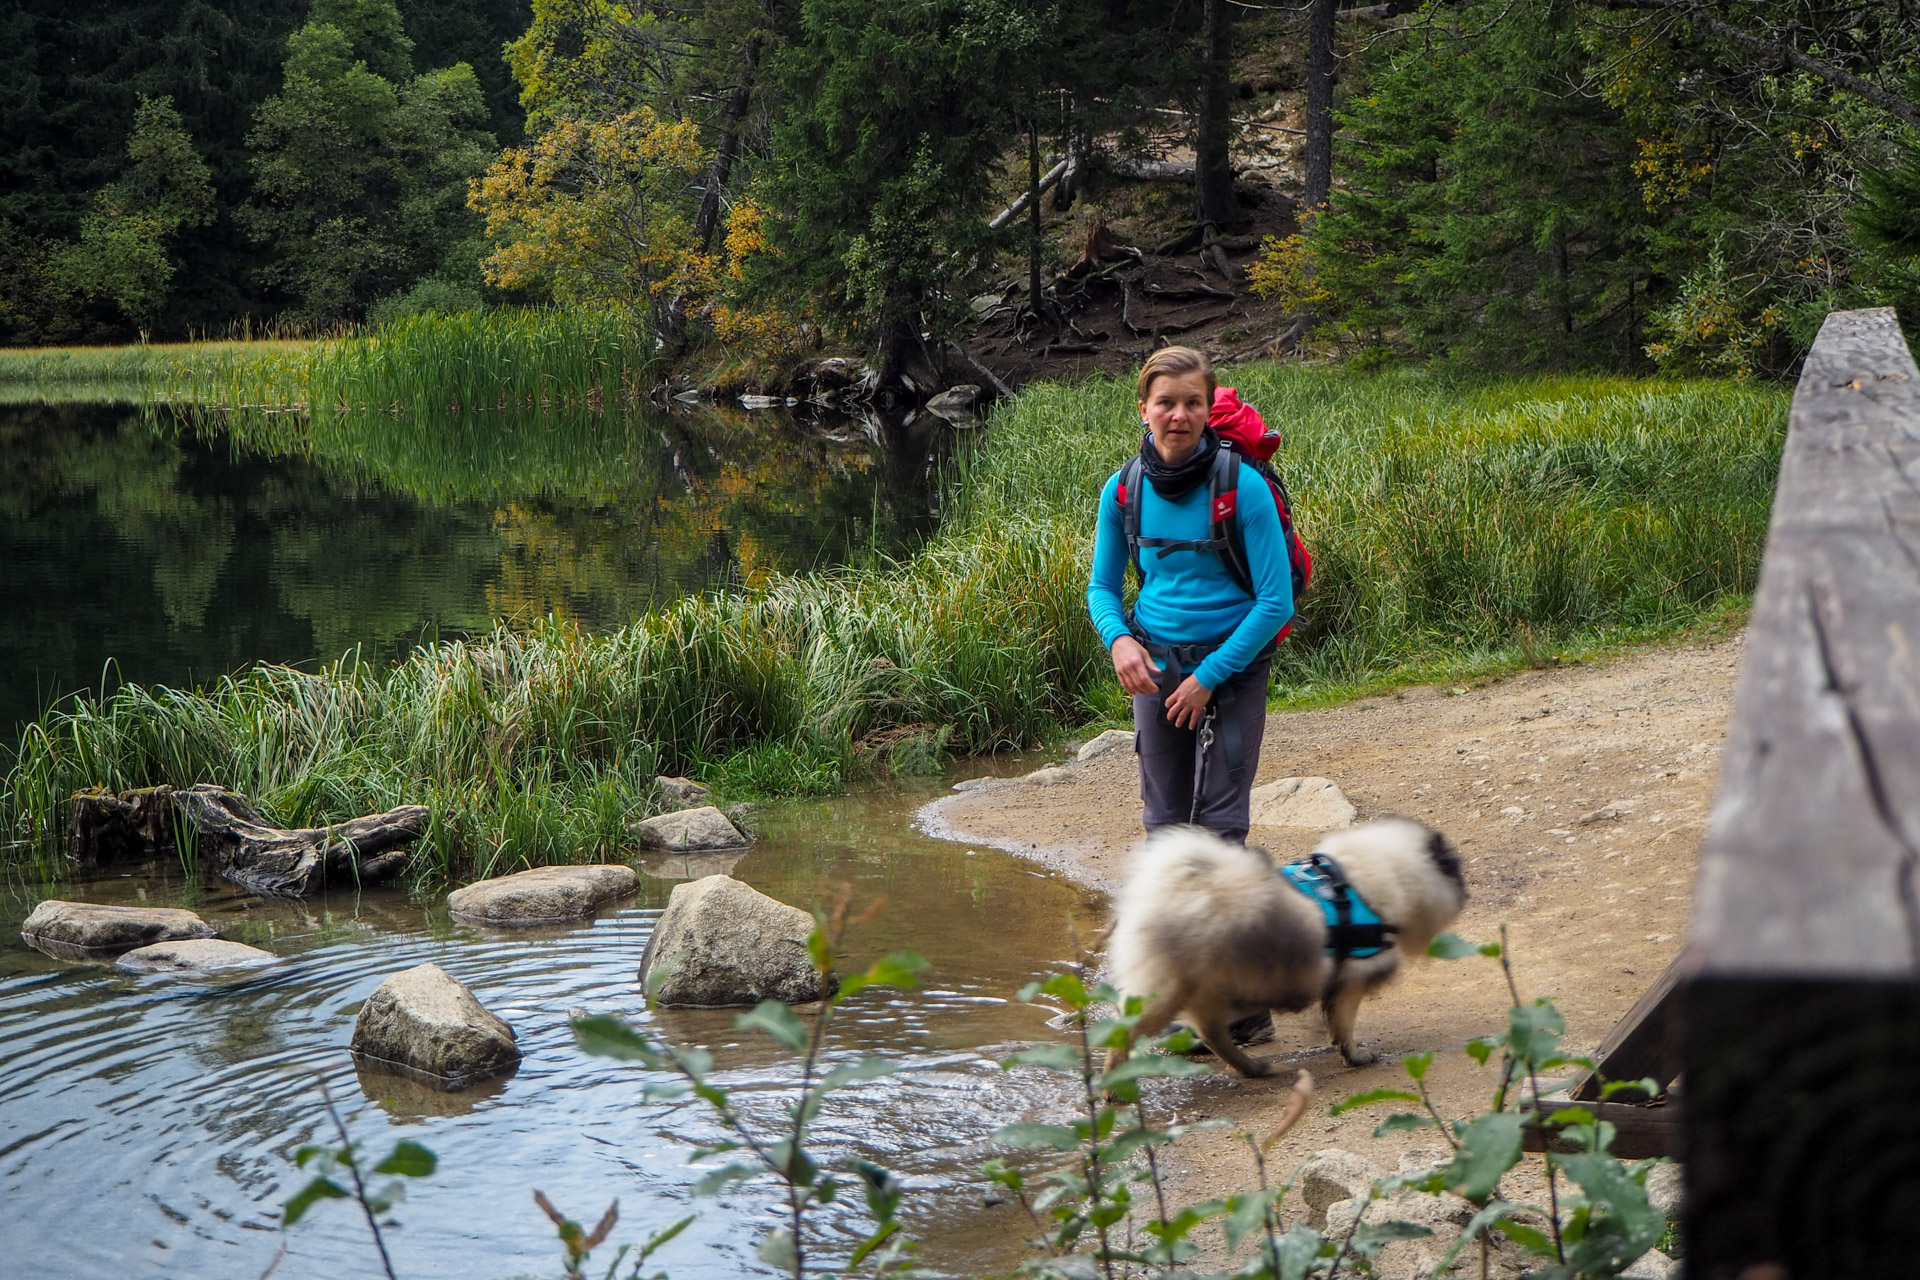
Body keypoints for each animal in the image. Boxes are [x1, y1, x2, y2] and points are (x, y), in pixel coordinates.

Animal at [1105, 817, 1459, 1074]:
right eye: (1454, 867)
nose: (1465, 889)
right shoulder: (1352, 978)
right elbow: (1344, 1024)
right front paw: (1355, 1055)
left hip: (1209, 990)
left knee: (1214, 1036)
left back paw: (1253, 1068)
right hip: (1167, 993)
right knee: (1126, 1033)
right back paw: (1113, 1086)